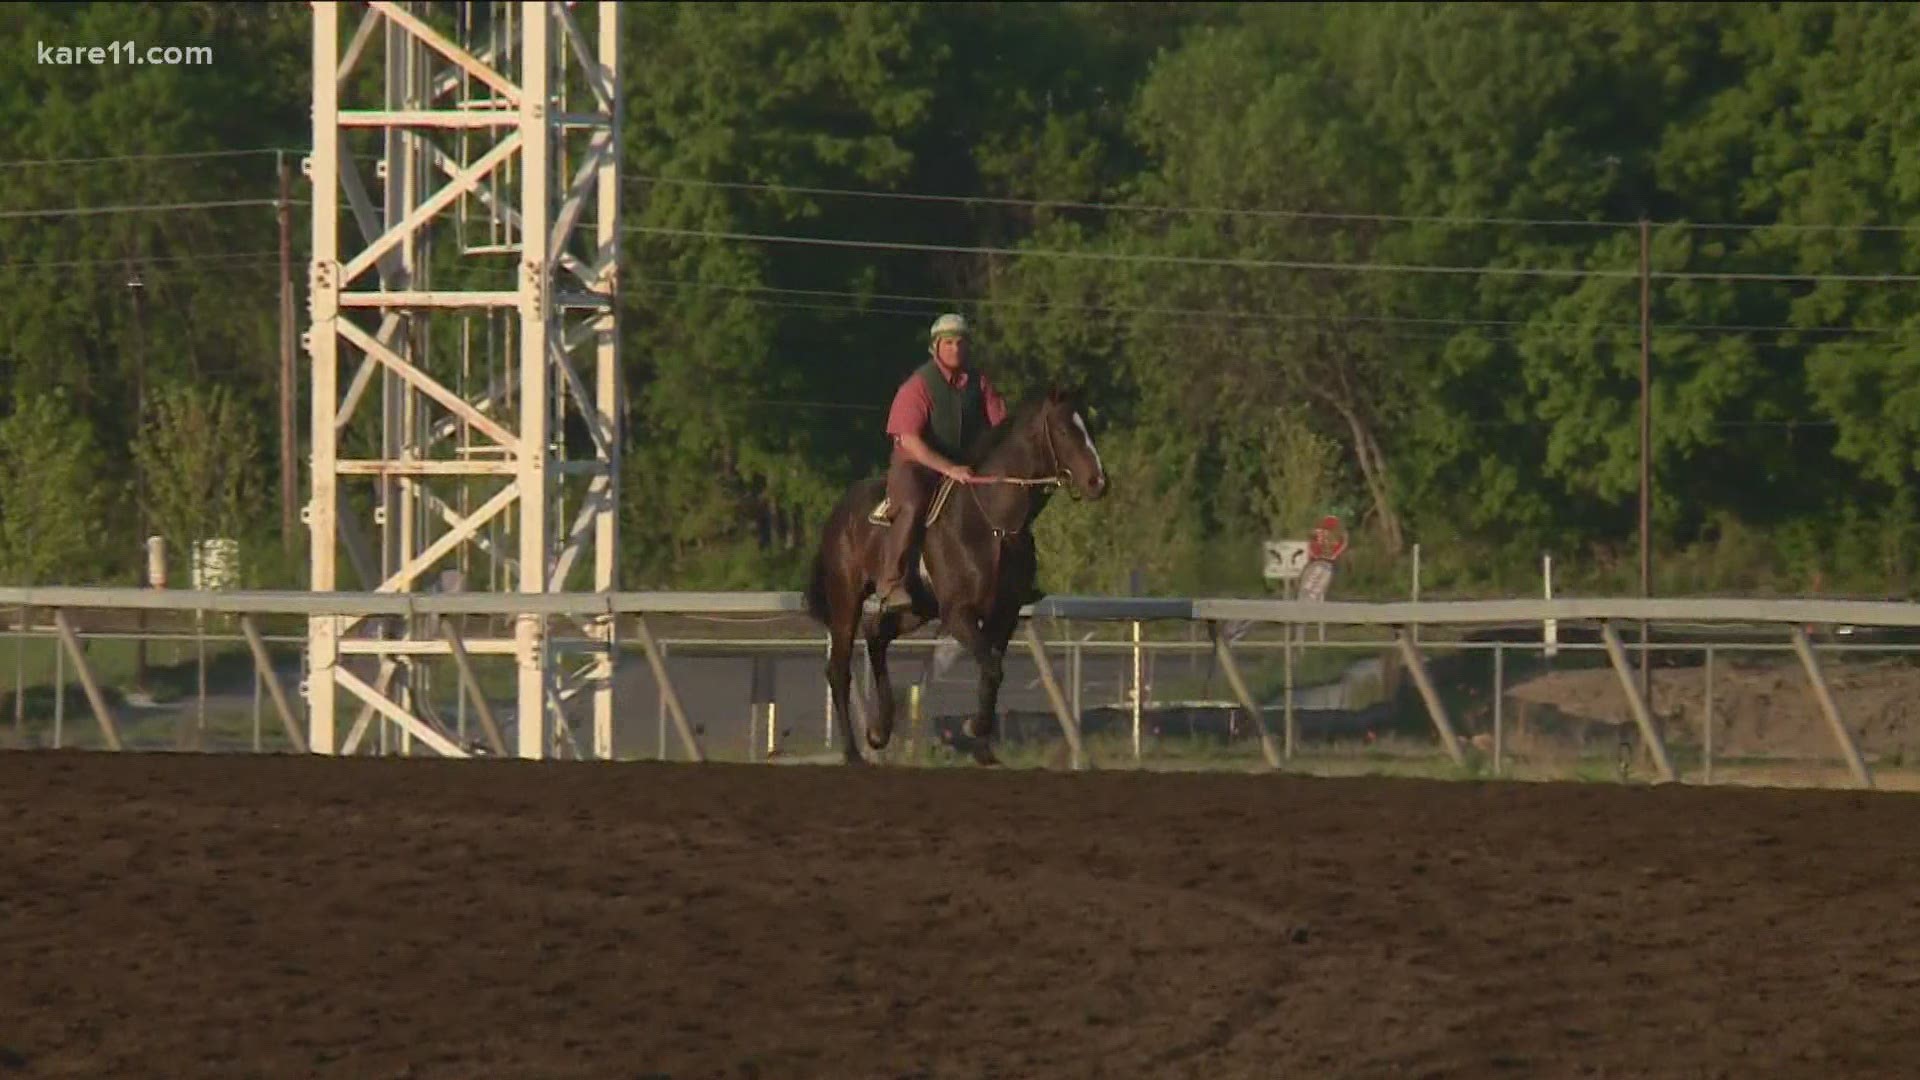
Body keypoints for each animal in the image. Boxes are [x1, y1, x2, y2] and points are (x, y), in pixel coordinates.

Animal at [802, 386, 1113, 764]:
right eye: (1066, 431)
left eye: (1089, 427)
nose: (1098, 481)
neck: (992, 523)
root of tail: (839, 512)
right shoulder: (959, 614)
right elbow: (991, 668)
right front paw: (973, 729)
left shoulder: (1004, 615)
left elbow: (991, 671)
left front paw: (982, 747)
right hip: (846, 597)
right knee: (839, 668)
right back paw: (852, 752)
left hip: (917, 608)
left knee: (876, 636)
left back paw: (879, 730)